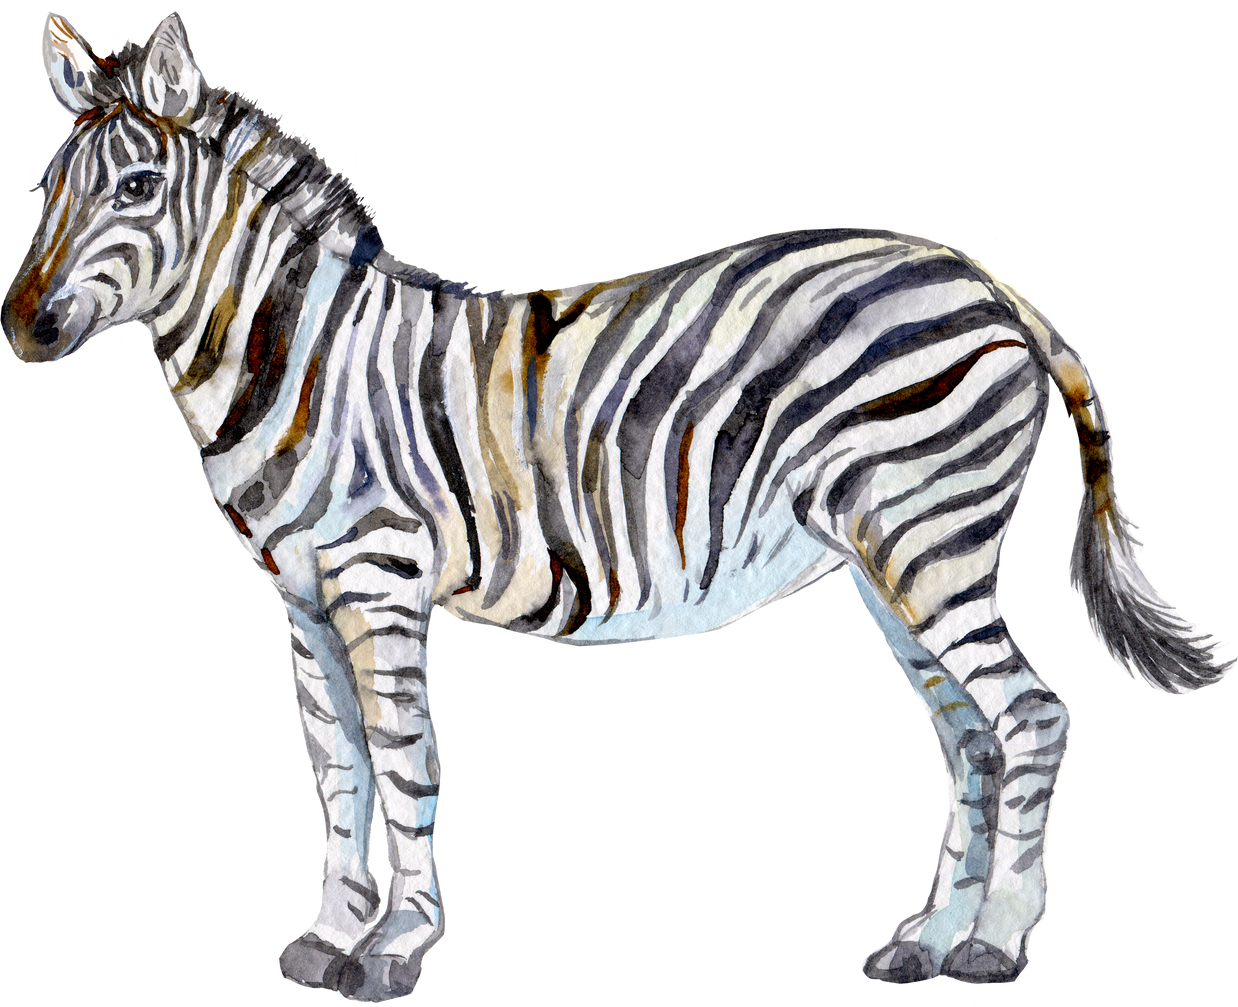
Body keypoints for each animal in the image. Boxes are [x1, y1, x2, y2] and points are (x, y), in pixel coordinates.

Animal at [5, 9, 1233, 1002]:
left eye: (135, 190)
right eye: (45, 187)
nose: (22, 329)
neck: (297, 358)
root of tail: (1000, 289)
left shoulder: (377, 579)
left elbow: (403, 760)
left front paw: (395, 949)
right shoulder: (303, 603)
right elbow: (335, 768)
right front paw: (326, 938)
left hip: (927, 539)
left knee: (1028, 716)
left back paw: (992, 946)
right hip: (894, 563)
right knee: (969, 736)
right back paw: (923, 941)